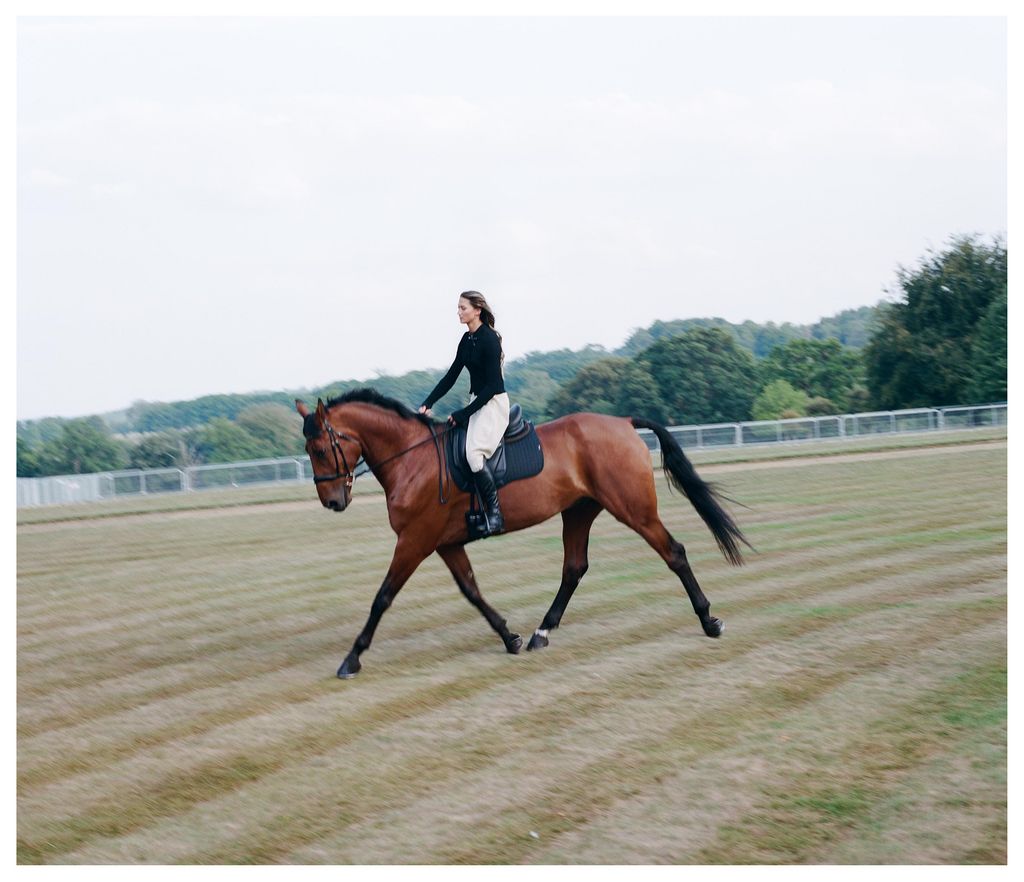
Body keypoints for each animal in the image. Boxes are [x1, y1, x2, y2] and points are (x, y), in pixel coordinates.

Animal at [296, 389, 749, 678]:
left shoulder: (415, 541)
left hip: (633, 509)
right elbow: (472, 591)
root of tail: (622, 422)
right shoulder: (445, 544)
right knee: (574, 568)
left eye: (319, 449)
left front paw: (352, 658)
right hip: (579, 512)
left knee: (674, 552)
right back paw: (540, 633)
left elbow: (383, 597)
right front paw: (509, 636)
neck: (413, 459)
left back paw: (709, 620)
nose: (332, 502)